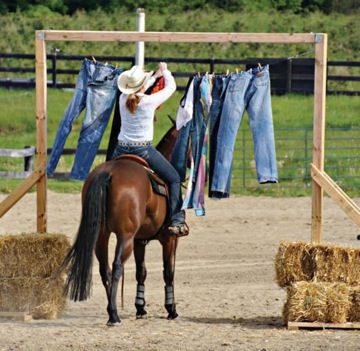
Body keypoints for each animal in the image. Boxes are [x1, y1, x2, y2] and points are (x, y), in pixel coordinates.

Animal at [60, 119, 184, 328]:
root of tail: (108, 173)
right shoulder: (169, 239)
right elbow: (169, 272)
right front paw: (171, 309)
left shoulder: (139, 241)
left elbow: (141, 272)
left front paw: (140, 308)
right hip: (125, 237)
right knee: (117, 266)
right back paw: (114, 315)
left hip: (102, 236)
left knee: (105, 270)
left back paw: (112, 309)